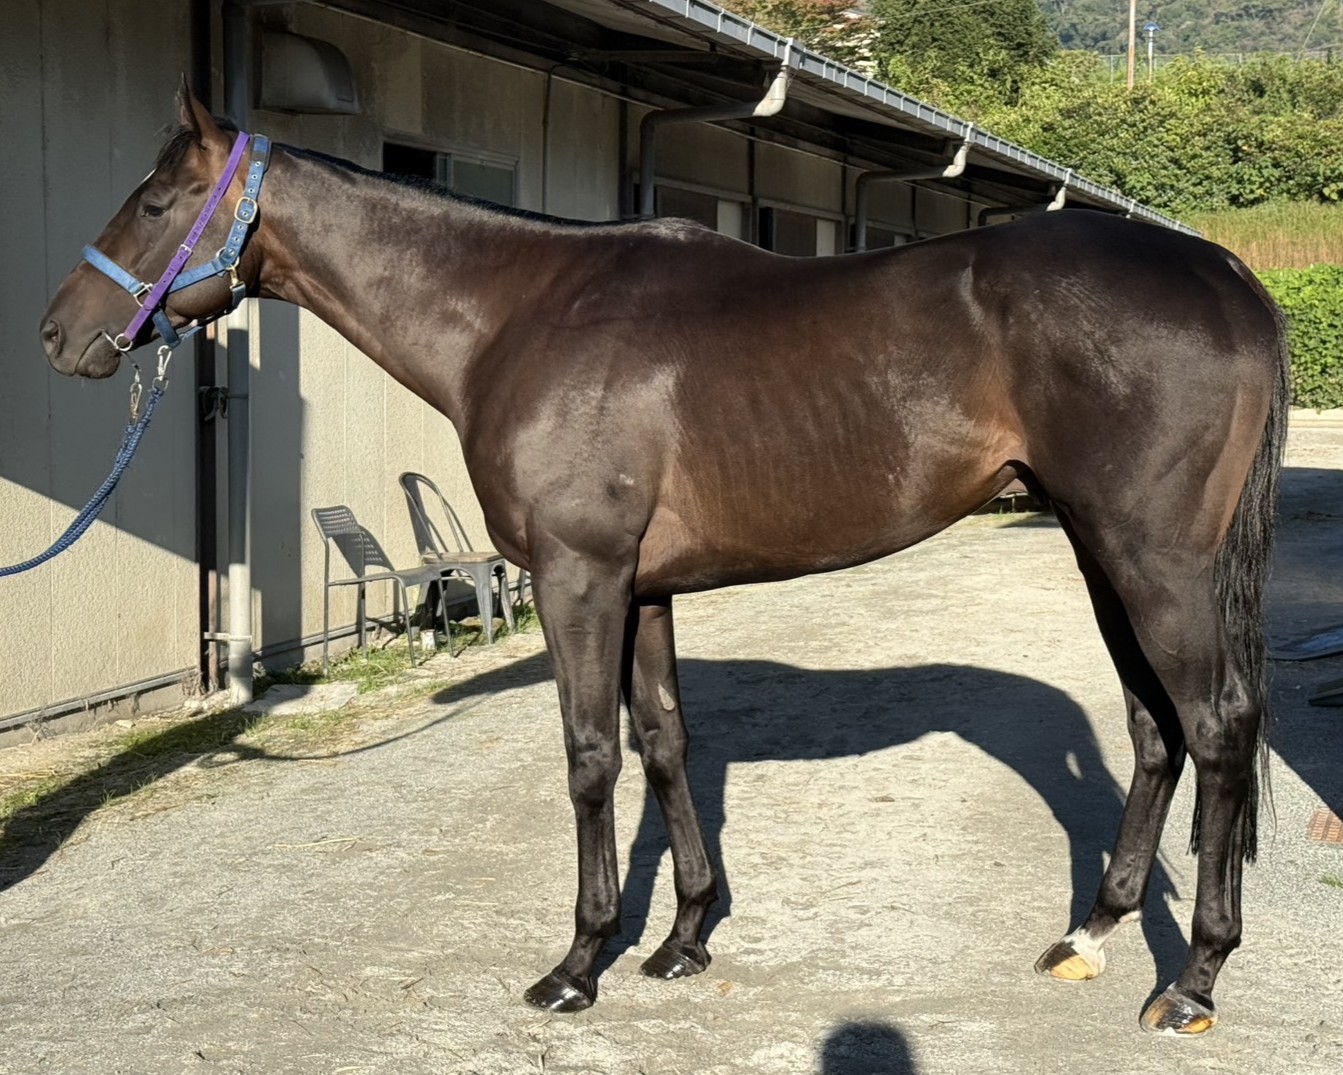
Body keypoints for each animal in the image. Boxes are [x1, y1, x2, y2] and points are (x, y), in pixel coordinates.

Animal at [39, 86, 1289, 1035]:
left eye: (157, 200)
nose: (57, 333)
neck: (518, 315)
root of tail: (1222, 274)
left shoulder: (577, 578)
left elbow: (591, 758)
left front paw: (577, 963)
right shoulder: (640, 591)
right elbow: (664, 746)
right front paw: (684, 936)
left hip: (1150, 558)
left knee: (1215, 725)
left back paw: (1191, 979)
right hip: (1096, 548)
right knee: (1153, 730)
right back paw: (1090, 929)